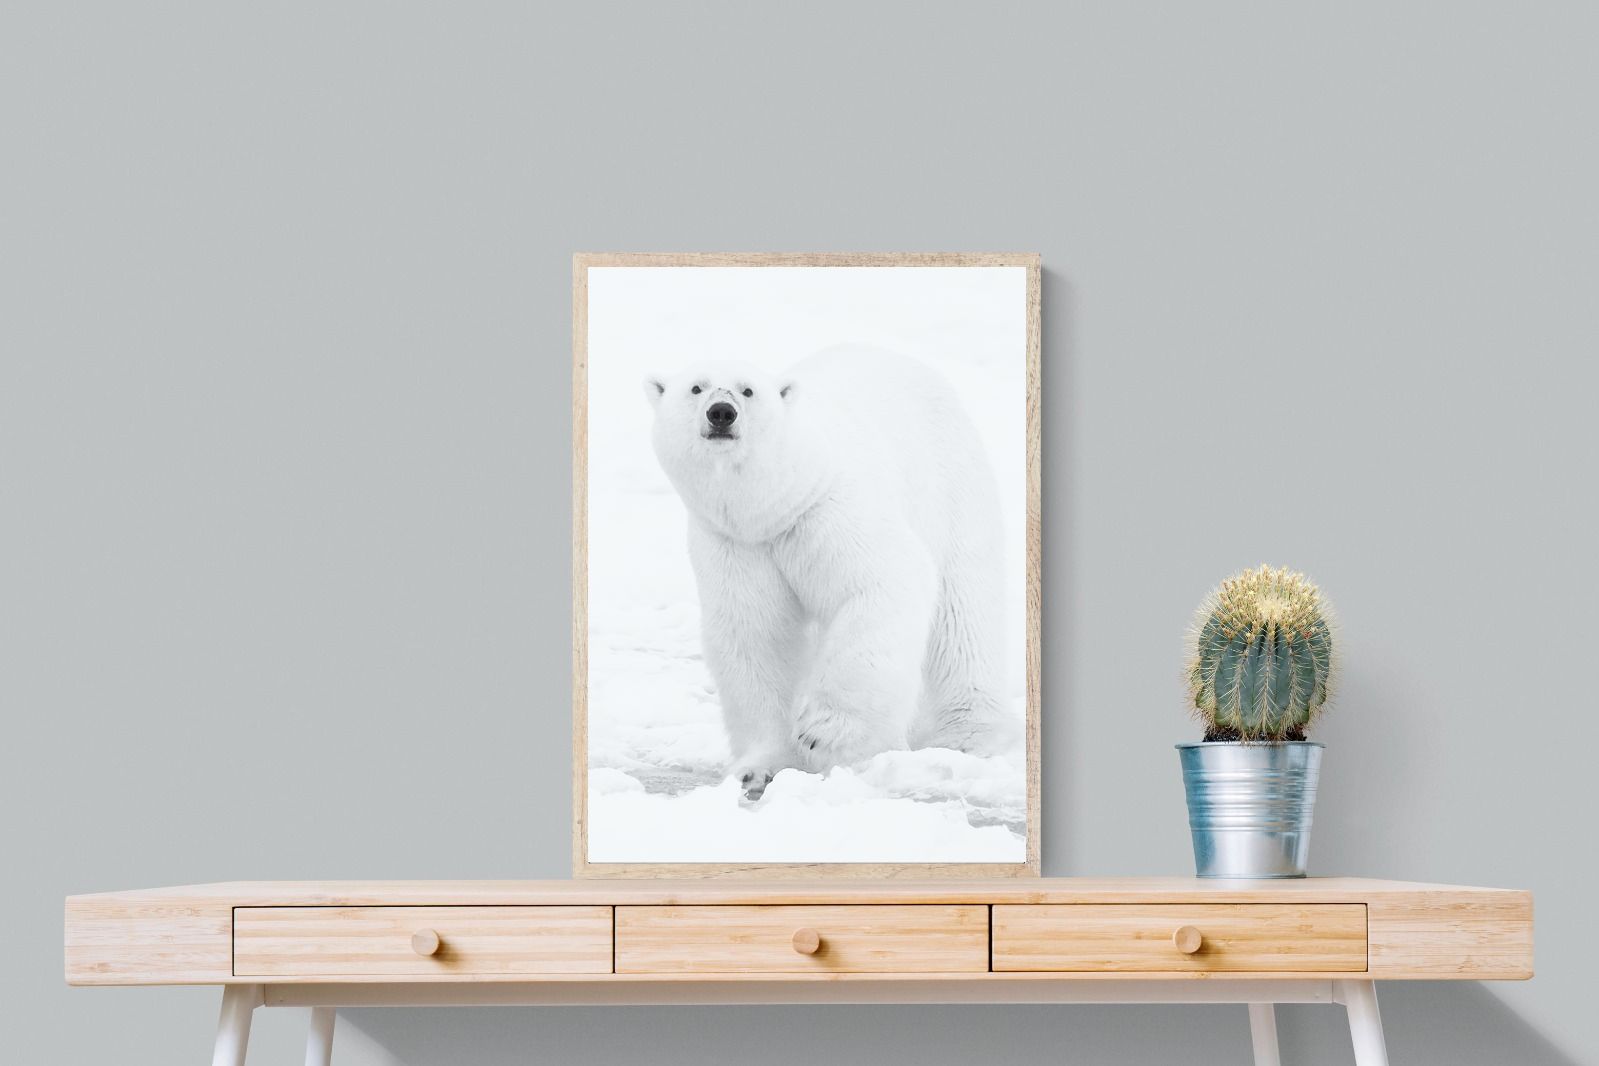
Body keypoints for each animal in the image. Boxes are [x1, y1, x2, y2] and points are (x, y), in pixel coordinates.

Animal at [643, 345, 1007, 799]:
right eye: (697, 387)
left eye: (748, 390)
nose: (721, 413)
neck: (774, 507)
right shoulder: (736, 544)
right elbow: (755, 635)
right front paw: (759, 768)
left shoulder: (827, 510)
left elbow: (882, 581)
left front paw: (824, 733)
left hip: (951, 484)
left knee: (963, 611)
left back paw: (965, 736)